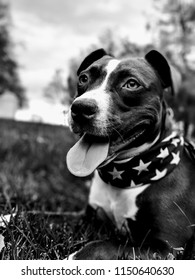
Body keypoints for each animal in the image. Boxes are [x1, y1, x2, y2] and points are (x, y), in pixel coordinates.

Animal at [66, 48, 195, 260]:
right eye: (84, 78)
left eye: (132, 84)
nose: (81, 107)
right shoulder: (87, 217)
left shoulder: (166, 248)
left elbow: (106, 245)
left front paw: (75, 256)